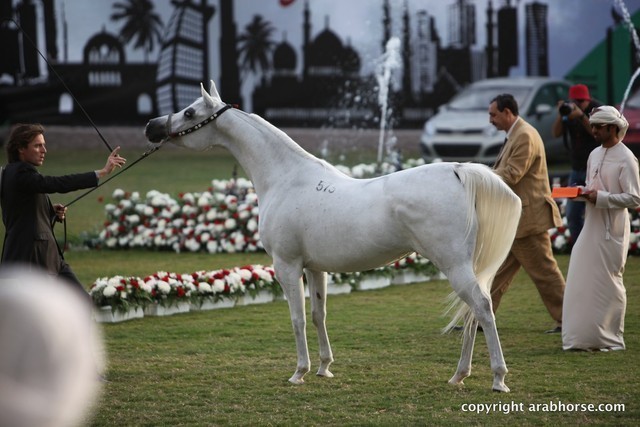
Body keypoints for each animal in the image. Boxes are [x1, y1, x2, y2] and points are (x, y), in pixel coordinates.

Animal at [144, 80, 522, 392]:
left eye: (190, 112)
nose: (152, 127)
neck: (286, 177)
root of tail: (458, 170)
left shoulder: (286, 265)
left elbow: (296, 318)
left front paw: (299, 372)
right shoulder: (315, 268)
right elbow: (318, 315)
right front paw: (324, 367)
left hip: (453, 264)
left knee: (482, 308)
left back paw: (498, 379)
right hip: (466, 266)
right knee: (472, 312)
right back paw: (459, 375)